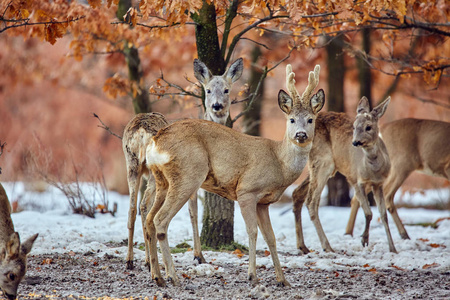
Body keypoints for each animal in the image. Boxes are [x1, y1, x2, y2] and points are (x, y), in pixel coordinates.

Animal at [123, 57, 243, 268]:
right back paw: (150, 261)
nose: (217, 106)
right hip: (156, 173)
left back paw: (133, 260)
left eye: (227, 89)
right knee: (145, 206)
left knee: (133, 208)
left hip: (131, 163)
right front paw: (198, 255)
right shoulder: (193, 177)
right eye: (208, 90)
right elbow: (193, 213)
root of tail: (141, 130)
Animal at [144, 63, 324, 286]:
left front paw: (283, 280)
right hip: (187, 175)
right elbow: (252, 232)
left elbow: (271, 238)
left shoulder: (264, 203)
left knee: (149, 219)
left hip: (161, 181)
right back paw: (173, 276)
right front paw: (252, 275)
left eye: (310, 119)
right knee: (160, 219)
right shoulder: (247, 190)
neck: (279, 164)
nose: (301, 135)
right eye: (291, 119)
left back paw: (157, 275)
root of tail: (156, 141)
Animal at [294, 96, 396, 255]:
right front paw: (364, 239)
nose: (355, 142)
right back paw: (327, 246)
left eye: (368, 127)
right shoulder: (354, 179)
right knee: (311, 201)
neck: (372, 169)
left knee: (297, 193)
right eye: (353, 126)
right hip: (323, 162)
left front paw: (392, 248)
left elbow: (383, 215)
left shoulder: (379, 183)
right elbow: (368, 212)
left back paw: (303, 246)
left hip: (321, 167)